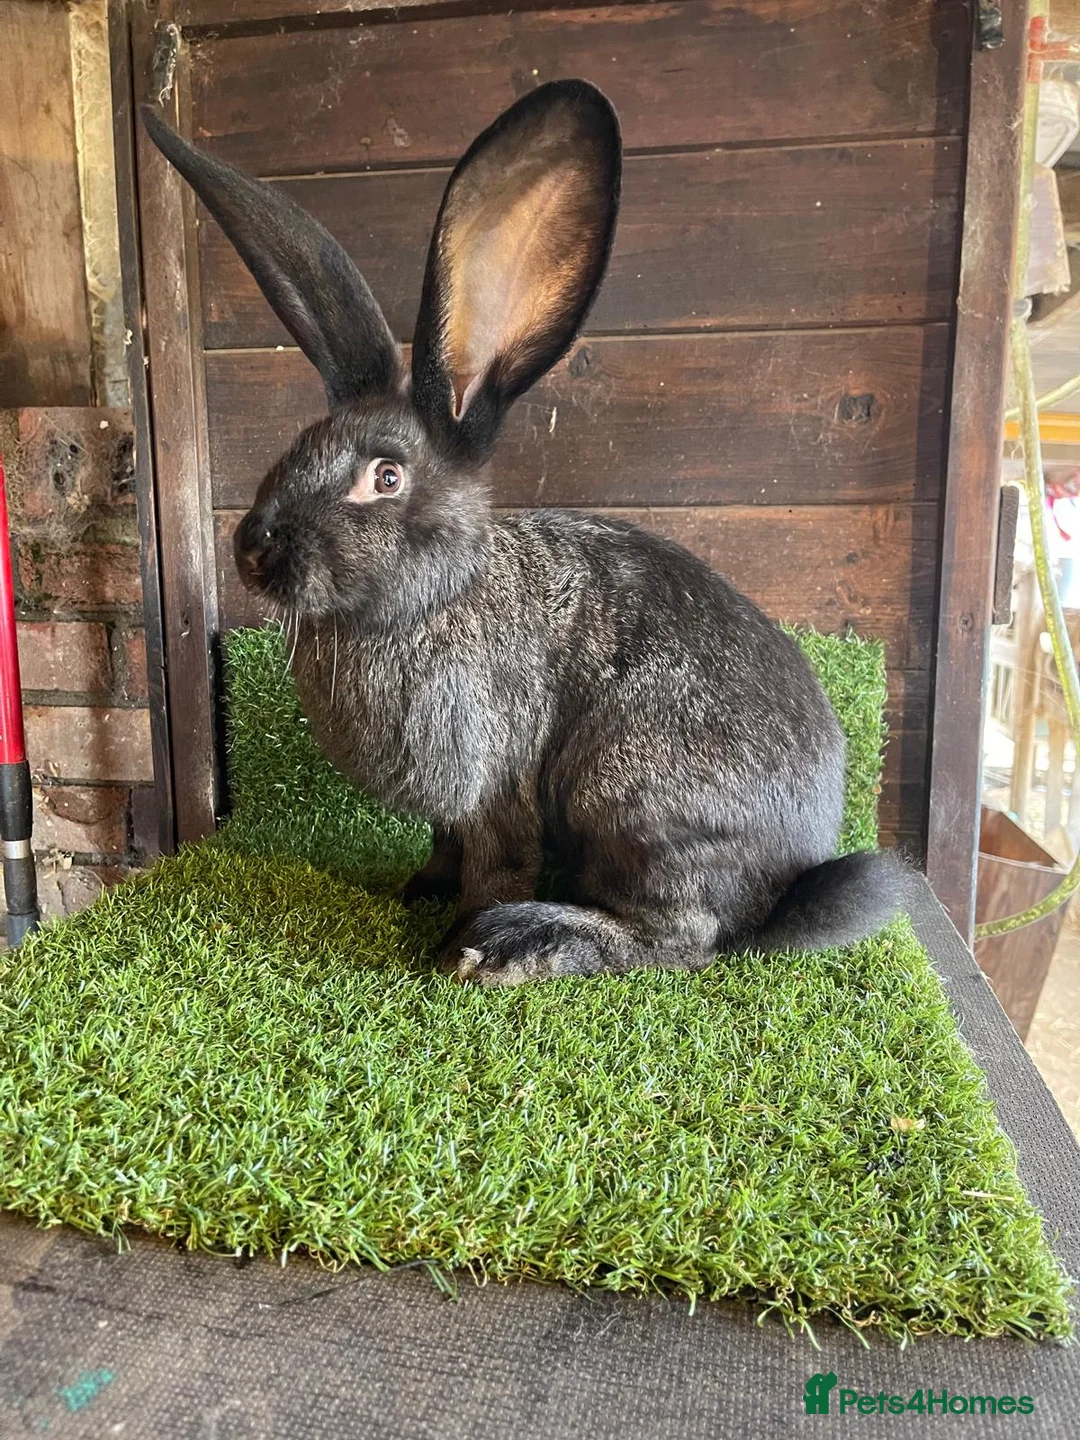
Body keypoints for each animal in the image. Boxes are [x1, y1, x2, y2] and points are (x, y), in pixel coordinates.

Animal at [143, 80, 908, 986]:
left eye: (385, 478)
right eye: (295, 448)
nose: (253, 547)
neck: (426, 604)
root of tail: (785, 886)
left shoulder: (493, 784)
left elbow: (494, 859)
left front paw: (453, 938)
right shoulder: (450, 809)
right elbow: (442, 849)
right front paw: (415, 893)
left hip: (635, 796)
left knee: (680, 940)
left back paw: (520, 943)